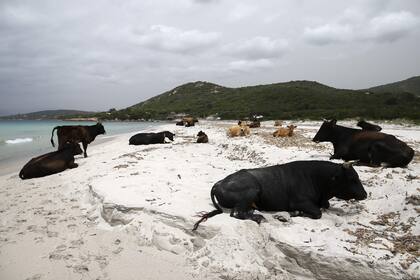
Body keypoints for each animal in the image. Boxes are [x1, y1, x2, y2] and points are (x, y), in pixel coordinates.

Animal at [192, 160, 366, 230]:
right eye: (352, 178)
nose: (365, 194)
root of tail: (219, 182)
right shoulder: (300, 202)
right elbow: (318, 213)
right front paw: (295, 213)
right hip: (252, 190)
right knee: (236, 213)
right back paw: (258, 217)